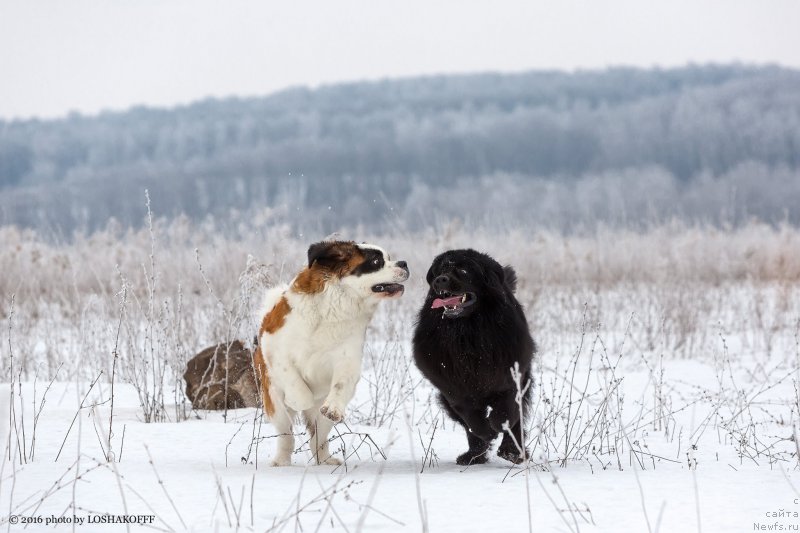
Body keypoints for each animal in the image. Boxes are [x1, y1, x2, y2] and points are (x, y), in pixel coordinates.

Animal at [255, 241, 410, 466]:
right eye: (376, 262)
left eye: (389, 258)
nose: (404, 263)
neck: (335, 306)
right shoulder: (273, 346)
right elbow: (294, 381)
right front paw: (299, 399)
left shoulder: (349, 358)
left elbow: (341, 383)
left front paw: (333, 408)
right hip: (275, 404)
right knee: (286, 435)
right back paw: (281, 460)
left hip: (320, 419)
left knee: (317, 438)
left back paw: (325, 459)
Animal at [412, 250, 536, 466]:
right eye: (440, 270)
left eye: (463, 271)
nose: (440, 280)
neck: (468, 333)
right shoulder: (451, 386)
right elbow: (469, 417)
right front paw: (486, 432)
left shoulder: (512, 372)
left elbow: (507, 409)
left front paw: (498, 426)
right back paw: (472, 456)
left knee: (517, 419)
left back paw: (512, 452)